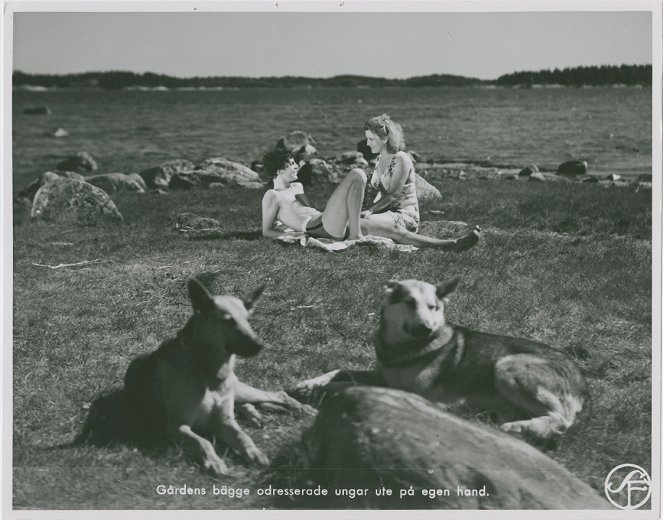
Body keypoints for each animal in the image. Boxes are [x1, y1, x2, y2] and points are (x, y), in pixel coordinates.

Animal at [125, 280, 314, 476]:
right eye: (228, 321)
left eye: (248, 320)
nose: (260, 345)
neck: (207, 371)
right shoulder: (178, 426)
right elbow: (203, 442)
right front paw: (214, 460)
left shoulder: (223, 422)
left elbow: (241, 435)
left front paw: (253, 452)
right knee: (255, 402)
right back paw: (257, 414)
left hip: (240, 390)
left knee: (277, 395)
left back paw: (302, 409)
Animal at [292, 278, 588, 440]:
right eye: (409, 303)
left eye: (433, 307)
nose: (426, 328)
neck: (399, 349)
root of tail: (580, 377)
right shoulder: (381, 373)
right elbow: (340, 369)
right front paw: (310, 383)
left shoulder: (408, 392)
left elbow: (348, 384)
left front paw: (324, 388)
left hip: (507, 366)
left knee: (561, 420)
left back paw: (518, 427)